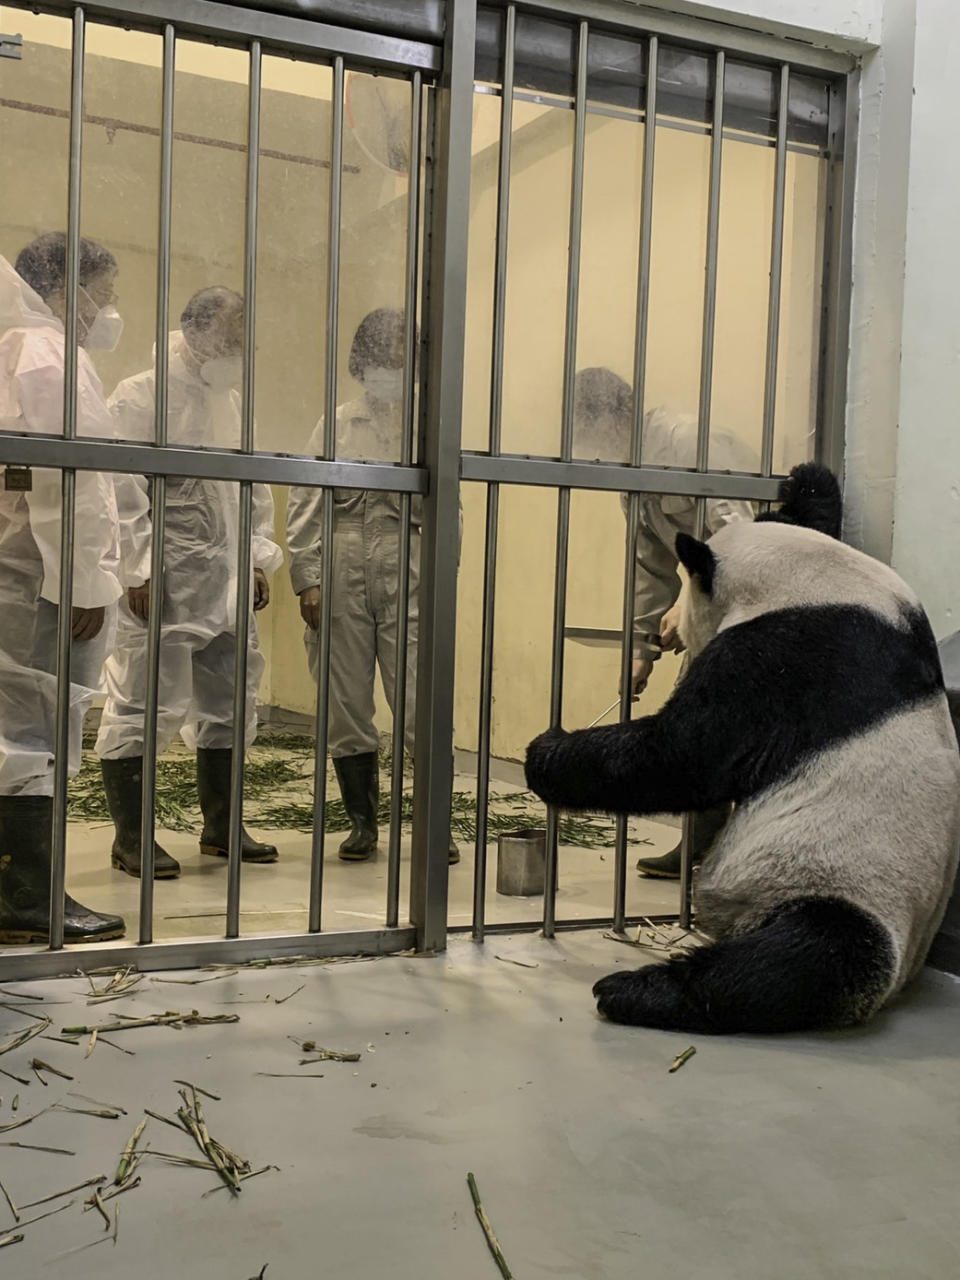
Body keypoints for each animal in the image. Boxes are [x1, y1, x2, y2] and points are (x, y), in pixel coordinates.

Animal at [527, 465, 960, 1034]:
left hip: (844, 889)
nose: (666, 634)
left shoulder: (784, 662)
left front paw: (546, 753)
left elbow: (683, 755)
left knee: (803, 959)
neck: (809, 584)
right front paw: (810, 481)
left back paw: (638, 990)